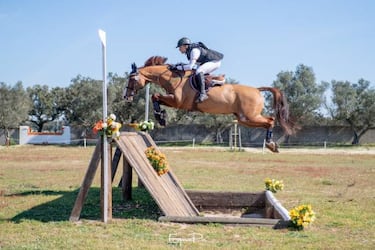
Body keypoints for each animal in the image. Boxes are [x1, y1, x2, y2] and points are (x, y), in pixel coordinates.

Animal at [123, 55, 296, 151]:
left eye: (132, 79)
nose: (126, 97)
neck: (173, 78)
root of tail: (257, 90)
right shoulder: (175, 101)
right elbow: (155, 97)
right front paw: (161, 116)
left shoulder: (178, 102)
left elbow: (155, 96)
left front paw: (160, 116)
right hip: (243, 119)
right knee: (267, 122)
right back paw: (272, 144)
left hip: (249, 116)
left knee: (270, 120)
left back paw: (271, 144)